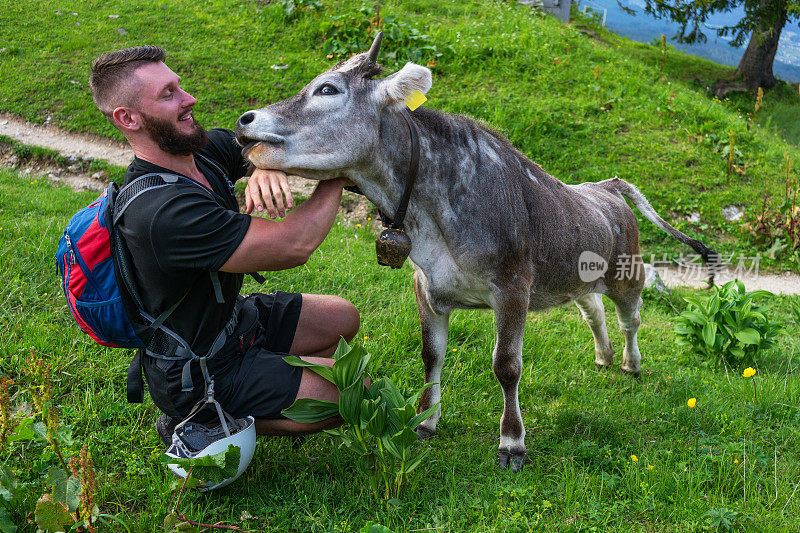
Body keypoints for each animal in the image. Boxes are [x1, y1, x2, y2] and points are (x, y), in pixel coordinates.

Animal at [234, 33, 716, 472]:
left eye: (327, 89)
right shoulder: (427, 286)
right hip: (576, 276)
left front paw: (512, 443)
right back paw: (604, 356)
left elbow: (507, 366)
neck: (434, 216)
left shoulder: (513, 286)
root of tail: (607, 185)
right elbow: (431, 355)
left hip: (626, 274)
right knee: (593, 312)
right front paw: (426, 421)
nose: (244, 119)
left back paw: (631, 364)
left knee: (630, 319)